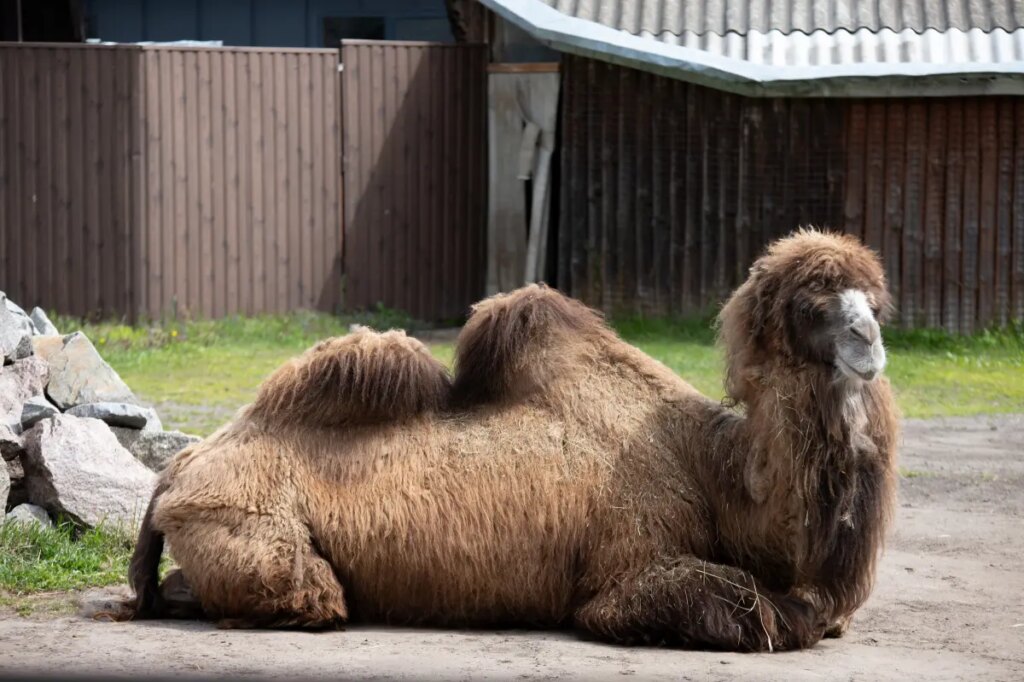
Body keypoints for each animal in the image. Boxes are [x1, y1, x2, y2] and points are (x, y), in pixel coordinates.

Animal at [122, 228, 899, 652]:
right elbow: (767, 613)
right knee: (312, 594)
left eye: (873, 299)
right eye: (812, 304)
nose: (869, 341)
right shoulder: (629, 571)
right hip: (254, 531)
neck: (717, 473)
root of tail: (174, 472)